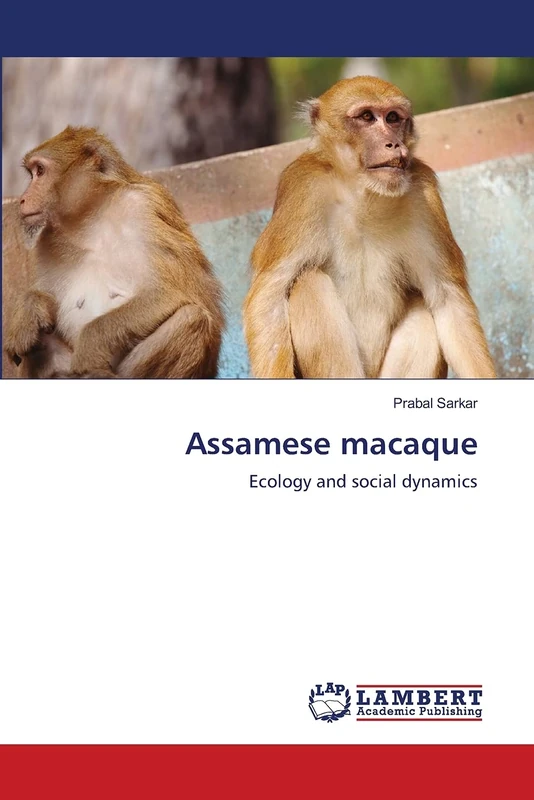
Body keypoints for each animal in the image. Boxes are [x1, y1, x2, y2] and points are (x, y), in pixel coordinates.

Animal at [4, 126, 224, 378]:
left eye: (39, 171)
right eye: (31, 174)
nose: (21, 200)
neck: (91, 220)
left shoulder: (146, 205)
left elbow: (177, 292)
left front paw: (90, 345)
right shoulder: (46, 240)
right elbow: (43, 299)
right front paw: (28, 308)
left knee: (192, 319)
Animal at [243, 77, 496, 379]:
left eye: (393, 118)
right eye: (366, 117)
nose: (394, 143)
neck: (363, 195)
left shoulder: (423, 194)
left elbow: (448, 301)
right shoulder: (304, 188)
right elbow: (269, 295)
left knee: (424, 311)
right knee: (308, 282)